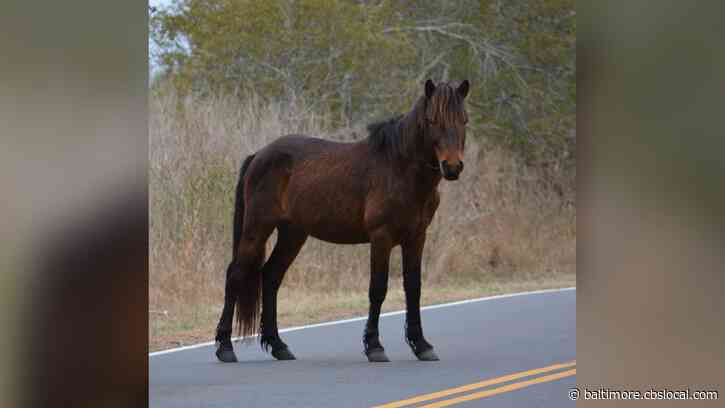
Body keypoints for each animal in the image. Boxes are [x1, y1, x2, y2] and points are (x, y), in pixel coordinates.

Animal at [214, 79, 470, 363]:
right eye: (432, 119)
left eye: (464, 120)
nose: (452, 167)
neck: (399, 168)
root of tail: (259, 155)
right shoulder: (381, 237)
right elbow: (377, 289)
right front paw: (374, 346)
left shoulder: (416, 237)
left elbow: (413, 288)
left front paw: (422, 345)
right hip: (257, 228)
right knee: (235, 275)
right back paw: (225, 347)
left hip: (293, 234)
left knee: (270, 276)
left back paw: (279, 346)